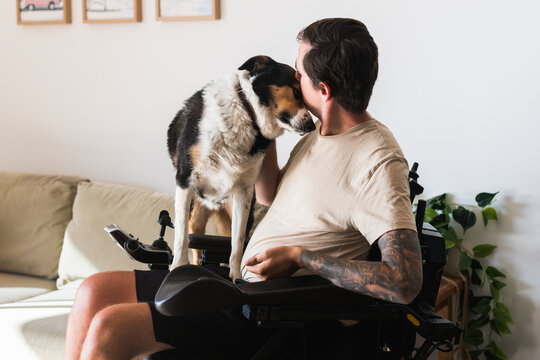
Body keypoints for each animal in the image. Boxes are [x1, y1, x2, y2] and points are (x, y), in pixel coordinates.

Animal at [167, 55, 314, 282]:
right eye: (297, 92)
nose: (313, 127)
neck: (247, 113)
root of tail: (215, 205)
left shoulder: (244, 192)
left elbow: (237, 242)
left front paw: (236, 277)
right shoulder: (185, 181)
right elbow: (181, 237)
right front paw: (176, 268)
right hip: (196, 214)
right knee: (194, 245)